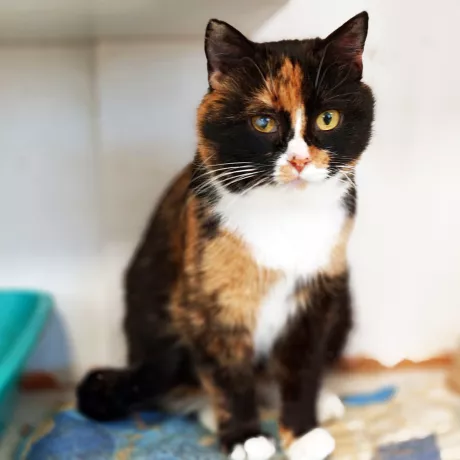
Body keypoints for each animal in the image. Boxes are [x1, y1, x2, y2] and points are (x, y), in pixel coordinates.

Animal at [77, 11, 374, 460]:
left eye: (328, 118)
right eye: (263, 122)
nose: (300, 161)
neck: (285, 214)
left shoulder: (315, 295)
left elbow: (302, 368)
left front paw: (303, 432)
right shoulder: (210, 301)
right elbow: (228, 376)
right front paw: (244, 437)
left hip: (344, 300)